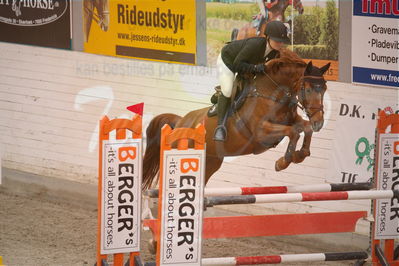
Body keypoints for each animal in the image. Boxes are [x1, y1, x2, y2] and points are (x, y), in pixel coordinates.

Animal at [142, 48, 330, 190]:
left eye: (324, 89)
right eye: (307, 89)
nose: (319, 122)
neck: (272, 93)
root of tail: (180, 122)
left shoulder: (292, 121)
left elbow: (304, 128)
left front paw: (300, 155)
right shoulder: (261, 132)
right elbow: (293, 132)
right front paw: (282, 162)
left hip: (211, 161)